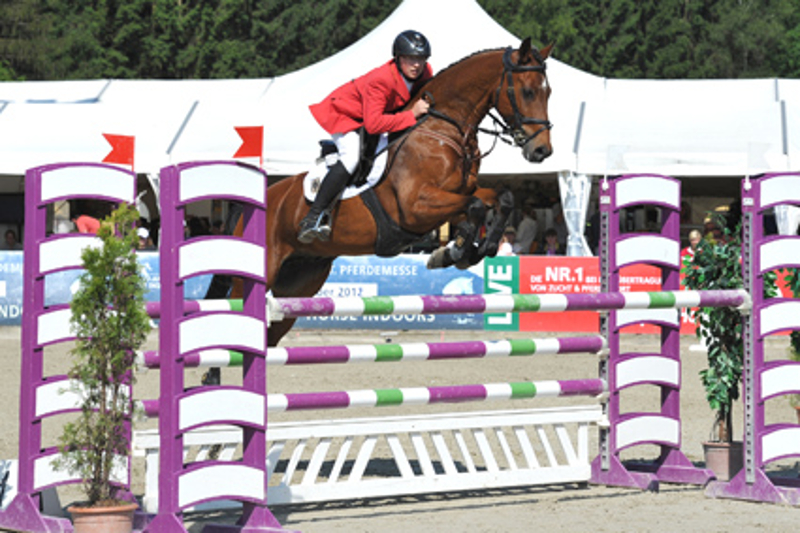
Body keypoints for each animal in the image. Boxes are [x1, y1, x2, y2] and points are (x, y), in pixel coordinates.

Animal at [206, 38, 552, 350]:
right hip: (256, 276)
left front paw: (469, 250)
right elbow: (477, 206)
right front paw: (457, 252)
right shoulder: (416, 207)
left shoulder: (458, 193)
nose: (541, 151)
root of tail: (252, 204)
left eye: (548, 91)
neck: (443, 128)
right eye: (528, 91)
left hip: (297, 282)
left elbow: (500, 199)